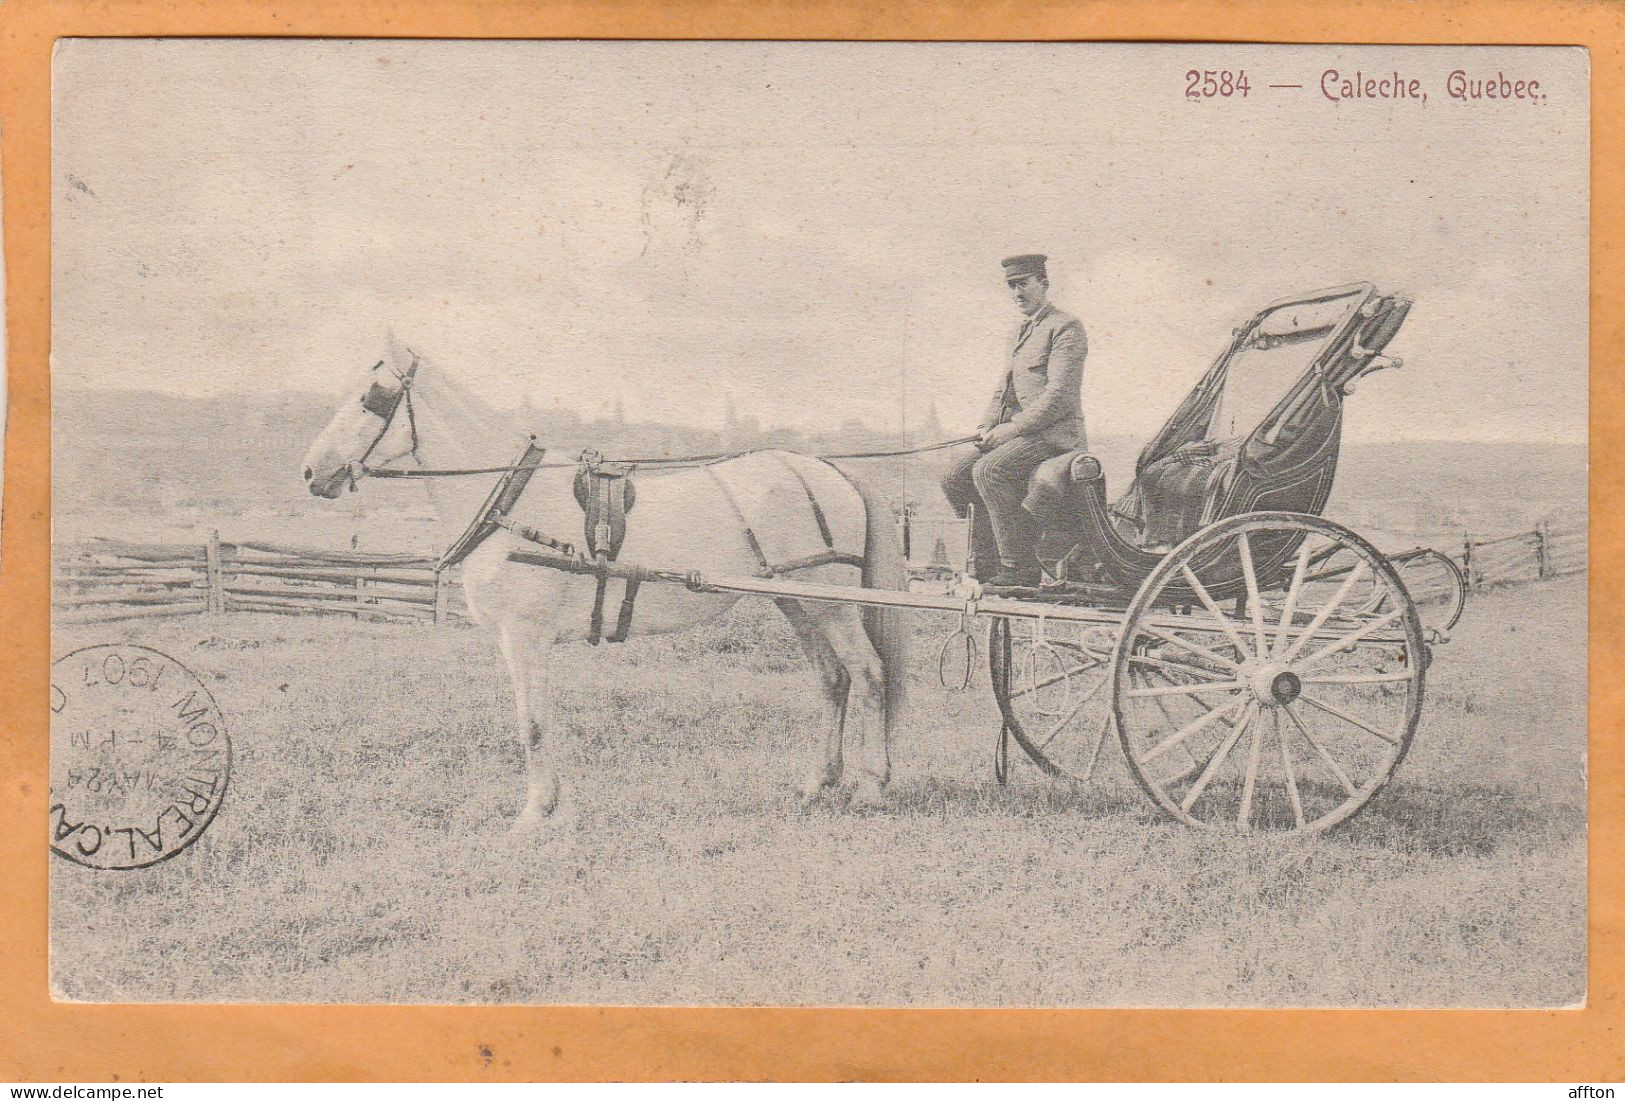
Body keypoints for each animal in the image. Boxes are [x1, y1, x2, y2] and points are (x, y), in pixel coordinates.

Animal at [299, 336, 910, 837]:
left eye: (372, 396)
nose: (310, 472)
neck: (512, 503)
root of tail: (831, 470)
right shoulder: (520, 643)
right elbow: (540, 719)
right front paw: (559, 808)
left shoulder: (525, 636)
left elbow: (533, 725)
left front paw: (534, 815)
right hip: (798, 602)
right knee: (832, 680)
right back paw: (817, 783)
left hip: (830, 605)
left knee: (868, 673)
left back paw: (871, 787)